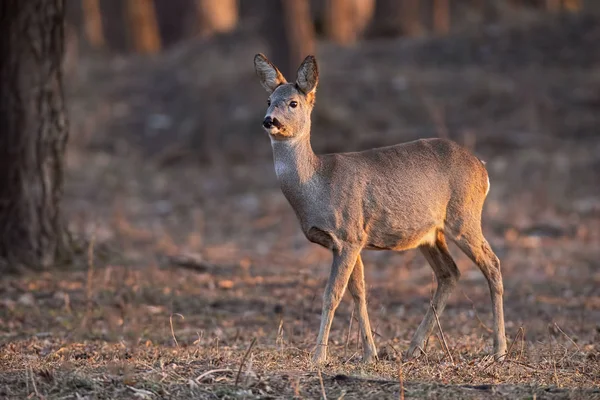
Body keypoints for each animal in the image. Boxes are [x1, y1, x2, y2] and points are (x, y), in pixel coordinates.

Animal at [253, 52, 506, 362]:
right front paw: (369, 353)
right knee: (449, 273)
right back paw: (414, 347)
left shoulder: (348, 234)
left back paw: (499, 349)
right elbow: (359, 292)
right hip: (430, 233)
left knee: (492, 264)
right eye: (268, 100)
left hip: (464, 217)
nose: (269, 120)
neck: (318, 184)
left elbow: (332, 295)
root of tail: (483, 169)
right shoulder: (352, 240)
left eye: (293, 103)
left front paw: (318, 357)